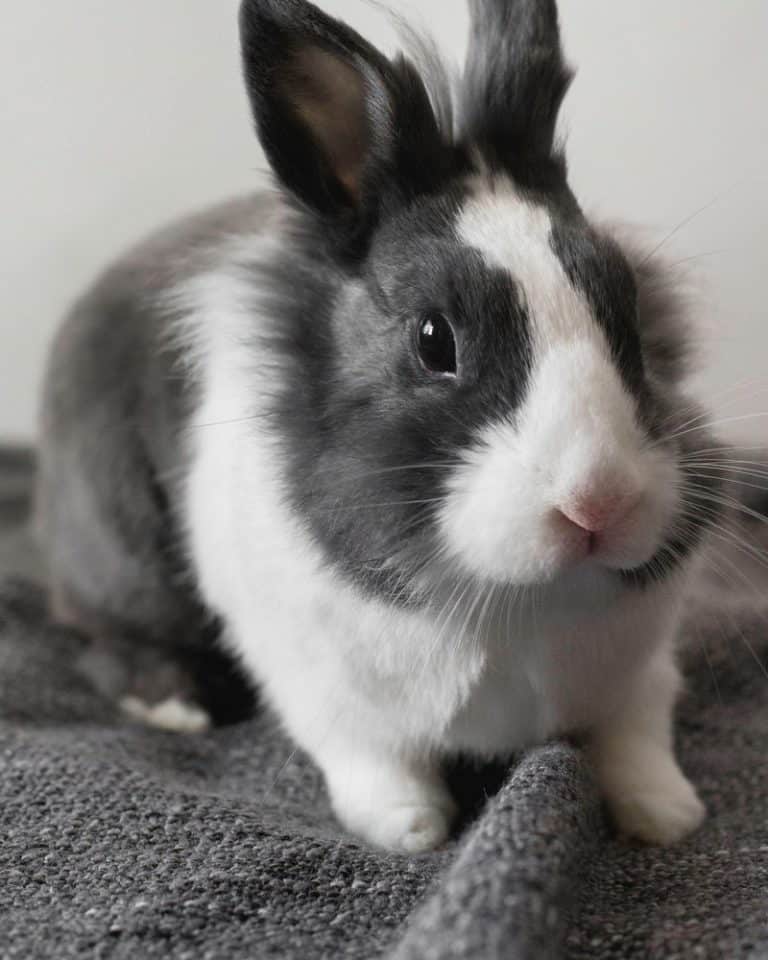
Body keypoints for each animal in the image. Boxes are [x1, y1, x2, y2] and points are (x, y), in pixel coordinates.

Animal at [36, 0, 724, 852]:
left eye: (627, 305)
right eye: (434, 340)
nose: (598, 504)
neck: (518, 598)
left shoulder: (641, 671)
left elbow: (636, 736)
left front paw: (668, 814)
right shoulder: (323, 689)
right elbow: (374, 761)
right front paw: (411, 830)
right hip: (117, 556)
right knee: (99, 638)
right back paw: (176, 705)